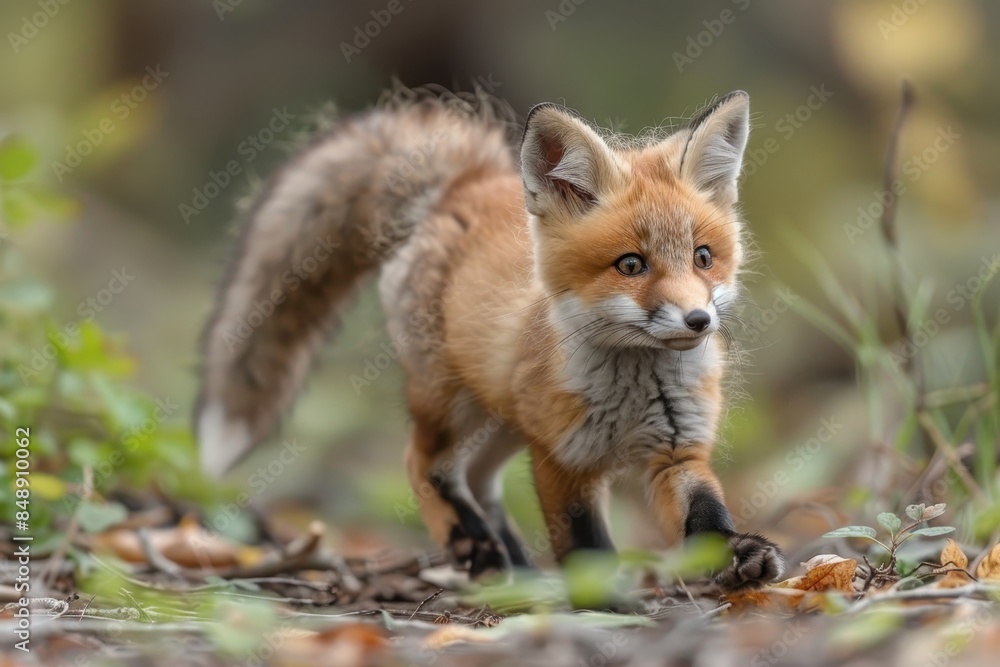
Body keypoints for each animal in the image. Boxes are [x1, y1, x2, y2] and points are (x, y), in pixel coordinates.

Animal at [195, 87, 785, 590]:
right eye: (631, 265)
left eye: (703, 257)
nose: (698, 321)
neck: (636, 392)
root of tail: (467, 181)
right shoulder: (562, 461)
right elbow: (586, 546)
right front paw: (604, 603)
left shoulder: (676, 450)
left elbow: (705, 517)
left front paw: (739, 554)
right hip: (450, 404)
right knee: (424, 464)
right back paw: (476, 547)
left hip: (503, 415)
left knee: (478, 480)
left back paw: (517, 567)